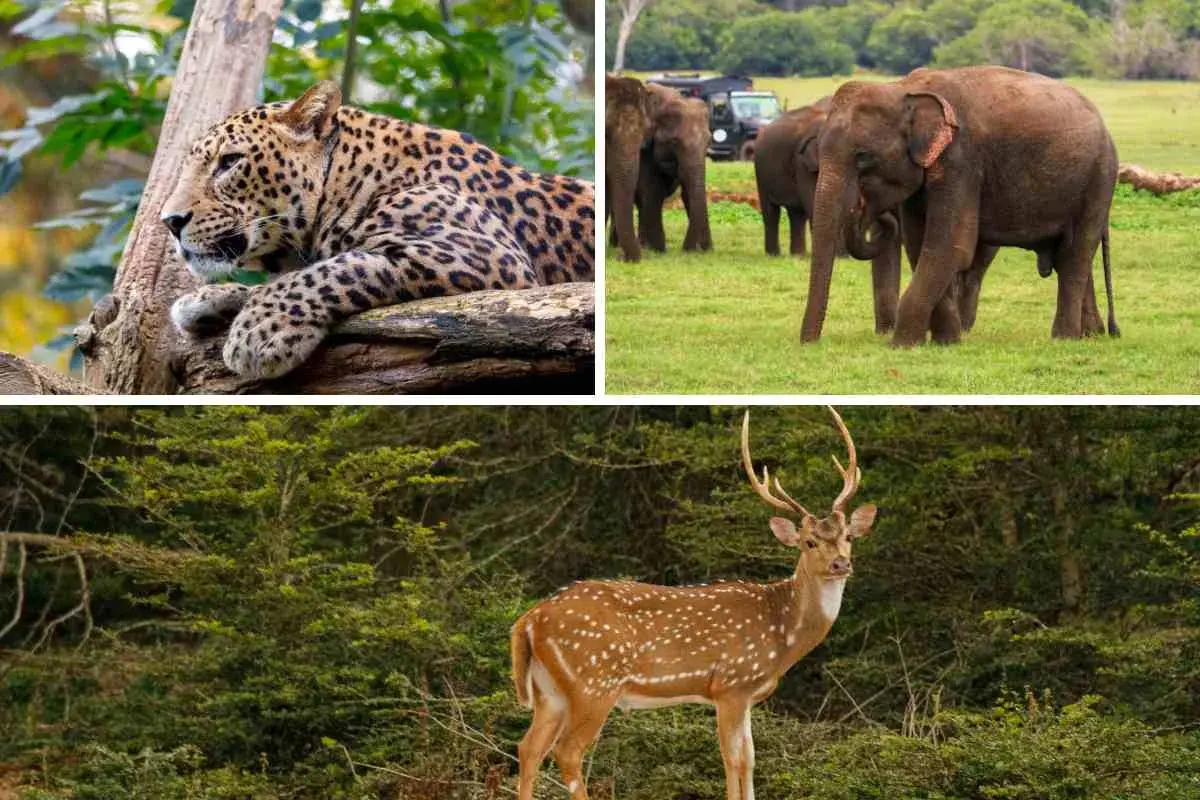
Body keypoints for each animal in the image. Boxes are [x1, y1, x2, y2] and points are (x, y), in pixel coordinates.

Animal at [755, 97, 902, 335]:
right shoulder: (803, 162)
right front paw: (841, 256)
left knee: (796, 215)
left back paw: (799, 255)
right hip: (760, 171)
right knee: (771, 212)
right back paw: (775, 255)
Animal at [802, 66, 1119, 347]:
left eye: (863, 156)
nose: (809, 344)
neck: (903, 88)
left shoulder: (961, 159)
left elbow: (950, 246)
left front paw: (901, 344)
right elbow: (920, 246)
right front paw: (947, 341)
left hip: (1099, 179)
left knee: (1075, 253)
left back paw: (1064, 338)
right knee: (1071, 256)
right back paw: (1091, 334)